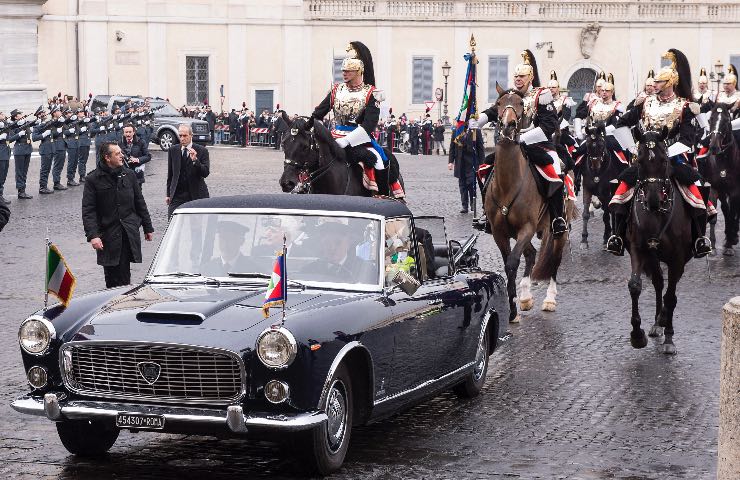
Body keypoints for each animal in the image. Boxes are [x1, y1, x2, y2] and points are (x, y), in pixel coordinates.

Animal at [580, 120, 624, 249]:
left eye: (601, 144)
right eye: (588, 145)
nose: (596, 167)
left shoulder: (606, 193)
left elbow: (606, 214)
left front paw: (606, 237)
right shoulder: (587, 188)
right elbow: (585, 214)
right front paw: (584, 239)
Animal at [624, 127, 692, 356]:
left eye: (664, 161)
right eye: (640, 161)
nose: (653, 201)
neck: (655, 215)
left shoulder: (677, 258)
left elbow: (671, 297)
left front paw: (669, 337)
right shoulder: (639, 249)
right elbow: (635, 286)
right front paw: (637, 335)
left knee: (670, 290)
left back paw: (663, 322)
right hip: (654, 257)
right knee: (658, 282)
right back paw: (656, 322)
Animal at [700, 104, 740, 255]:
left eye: (726, 120)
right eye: (710, 119)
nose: (714, 147)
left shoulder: (735, 190)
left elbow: (733, 210)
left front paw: (730, 240)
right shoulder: (718, 188)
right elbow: (725, 210)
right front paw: (728, 238)